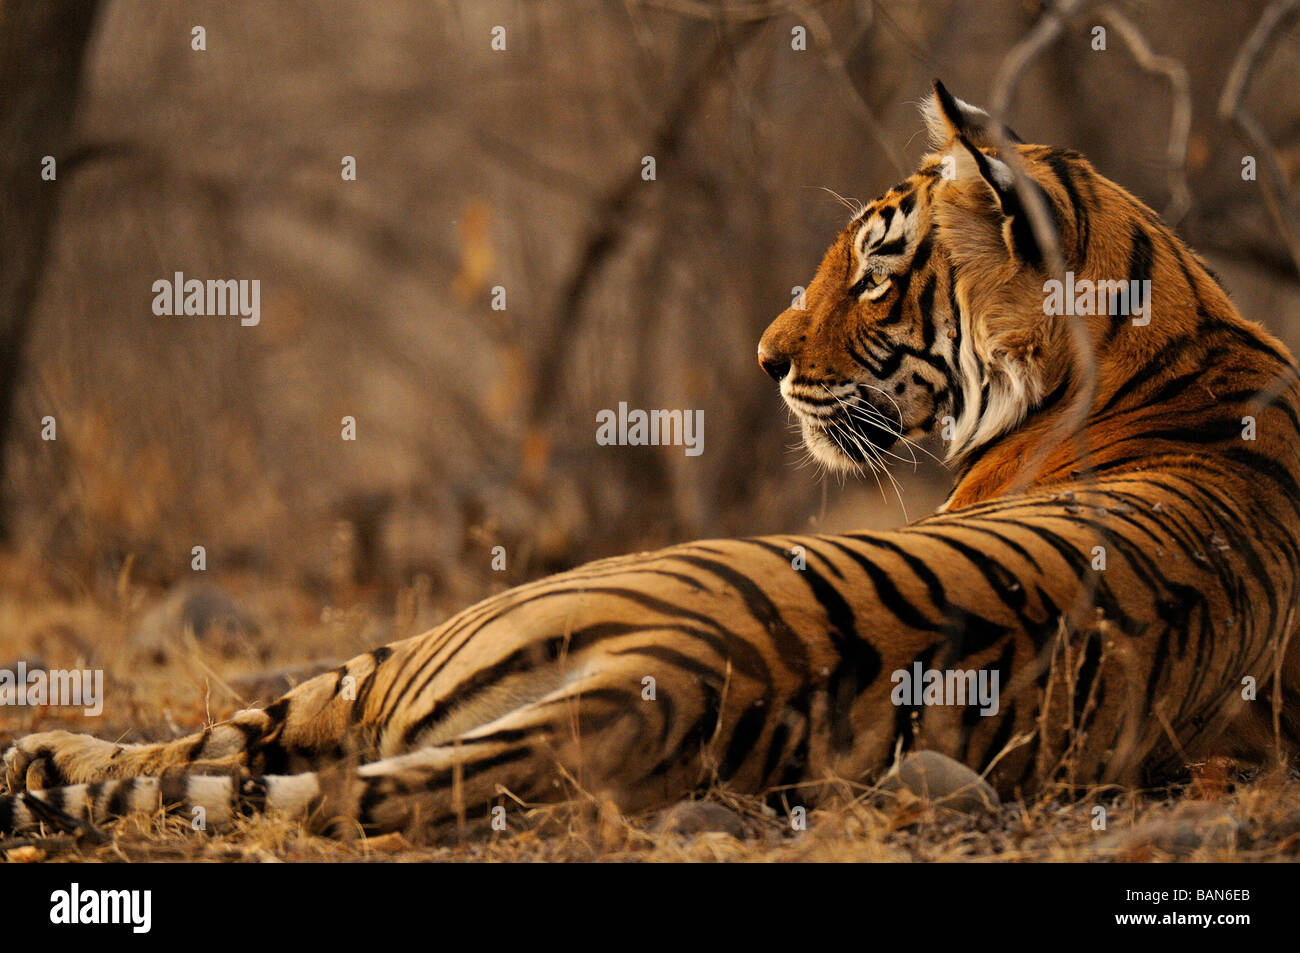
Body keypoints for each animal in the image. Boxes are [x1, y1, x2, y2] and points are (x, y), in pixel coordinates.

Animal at [2, 81, 1300, 837]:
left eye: (875, 271)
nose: (764, 358)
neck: (1171, 328)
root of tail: (673, 675)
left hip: (434, 638)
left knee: (228, 733)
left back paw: (38, 753)